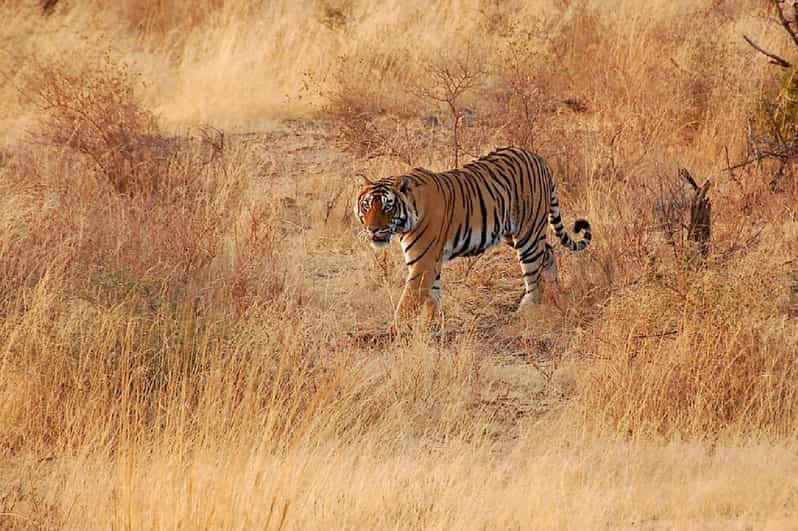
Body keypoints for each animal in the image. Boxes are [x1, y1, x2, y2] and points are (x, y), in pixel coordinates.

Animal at [358, 147, 592, 320]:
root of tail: (538, 158)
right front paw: (434, 325)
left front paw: (397, 334)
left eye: (388, 207)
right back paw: (556, 294)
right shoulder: (431, 262)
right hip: (512, 233)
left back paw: (527, 310)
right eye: (366, 206)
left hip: (528, 234)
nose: (373, 229)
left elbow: (408, 303)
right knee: (549, 253)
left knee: (534, 272)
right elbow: (433, 296)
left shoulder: (422, 263)